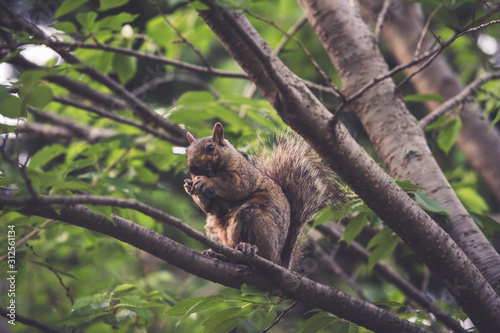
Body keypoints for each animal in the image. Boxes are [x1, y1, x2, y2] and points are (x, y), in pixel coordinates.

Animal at [184, 122, 344, 270]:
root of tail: (279, 262)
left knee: (261, 255)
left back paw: (249, 249)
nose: (192, 168)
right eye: (186, 153)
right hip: (215, 230)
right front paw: (189, 186)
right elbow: (209, 208)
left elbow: (233, 187)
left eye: (210, 148)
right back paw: (219, 254)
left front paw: (206, 181)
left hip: (258, 219)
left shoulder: (243, 177)